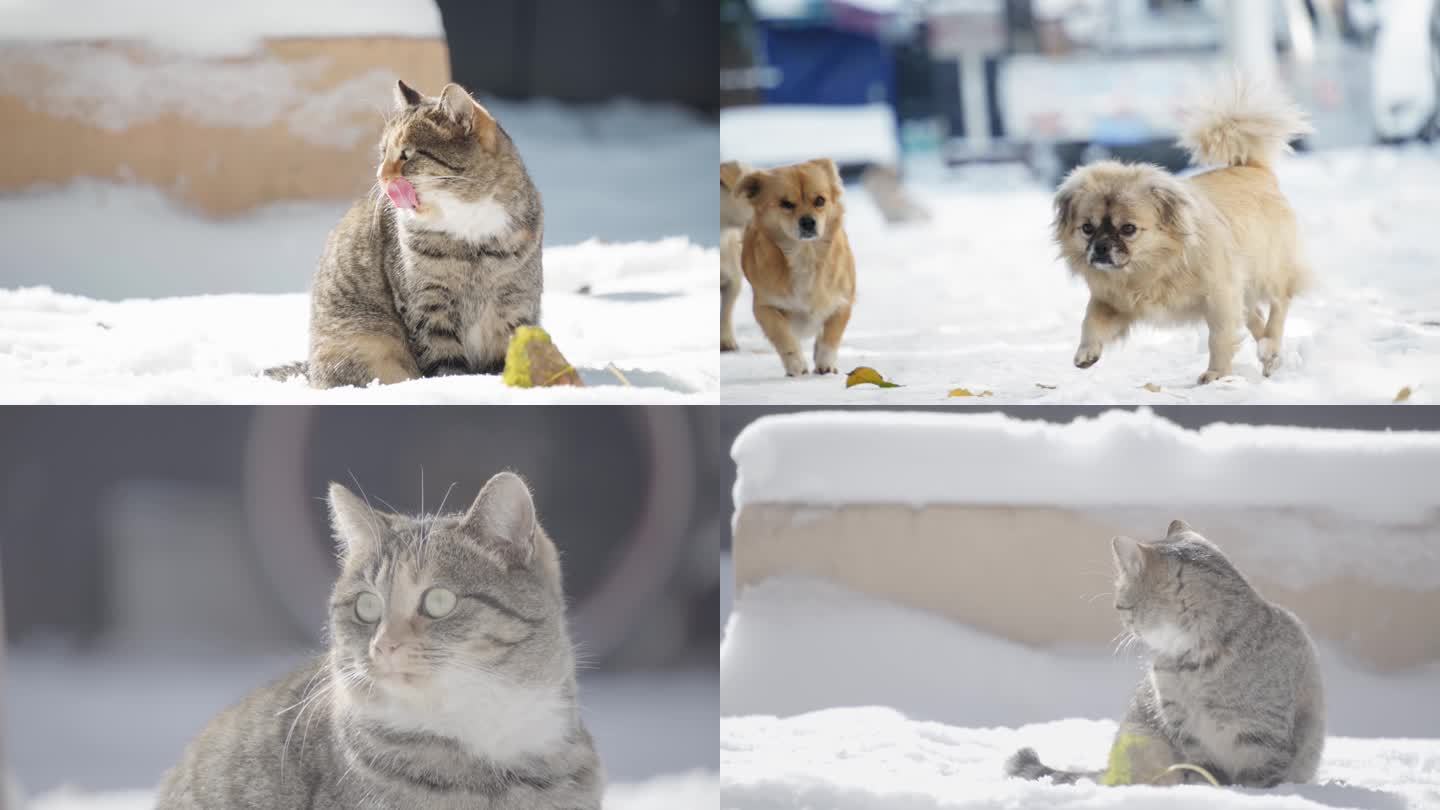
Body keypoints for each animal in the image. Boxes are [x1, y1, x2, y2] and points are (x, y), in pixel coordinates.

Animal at [731, 157, 852, 374]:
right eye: (785, 204)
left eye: (820, 200)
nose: (808, 222)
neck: (804, 254)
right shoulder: (764, 306)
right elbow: (781, 334)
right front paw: (795, 363)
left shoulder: (842, 302)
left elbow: (831, 335)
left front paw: (826, 362)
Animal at [1054, 77, 1313, 380]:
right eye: (1087, 228)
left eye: (1128, 229)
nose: (1102, 247)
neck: (1152, 268)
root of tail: (1253, 168)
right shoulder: (1111, 300)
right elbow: (1091, 320)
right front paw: (1087, 352)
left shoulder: (1220, 296)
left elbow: (1220, 338)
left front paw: (1216, 375)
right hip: (1244, 286)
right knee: (1254, 315)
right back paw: (1268, 354)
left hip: (1268, 270)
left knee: (1279, 302)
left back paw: (1270, 347)